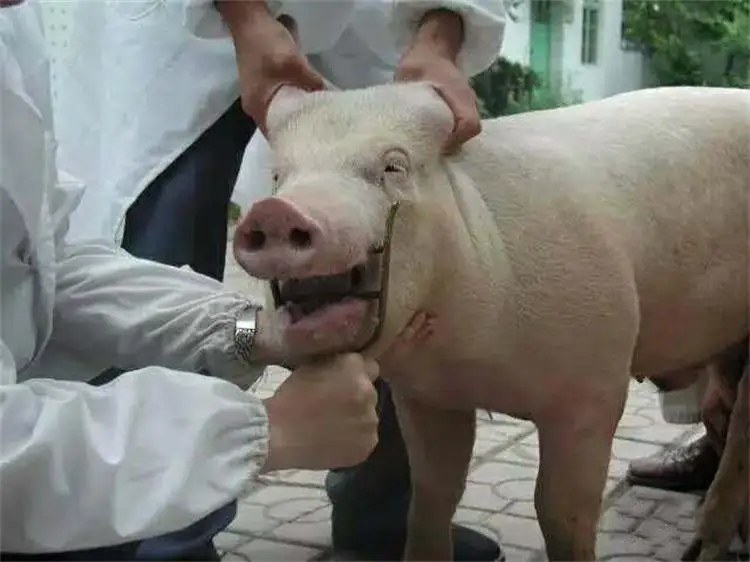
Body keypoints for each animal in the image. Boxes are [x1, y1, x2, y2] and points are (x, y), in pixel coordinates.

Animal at [233, 82, 750, 561]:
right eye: (279, 175)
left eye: (393, 167)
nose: (275, 210)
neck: (474, 359)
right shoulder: (425, 394)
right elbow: (433, 495)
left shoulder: (595, 387)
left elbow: (561, 511)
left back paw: (703, 549)